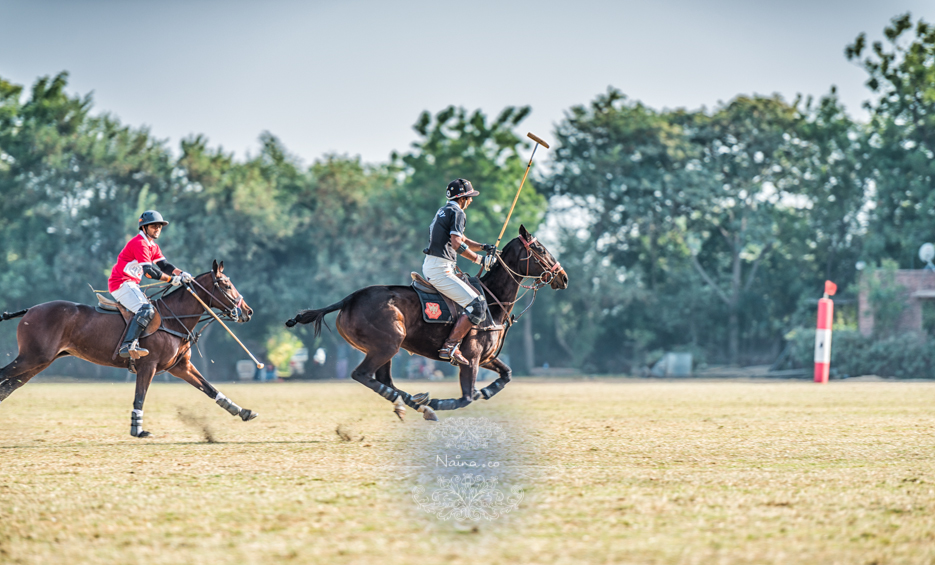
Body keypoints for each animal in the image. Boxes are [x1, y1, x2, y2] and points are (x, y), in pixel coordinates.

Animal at [0, 260, 260, 436]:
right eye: (226, 284)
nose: (247, 312)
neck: (174, 319)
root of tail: (29, 310)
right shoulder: (148, 365)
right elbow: (140, 397)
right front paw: (138, 430)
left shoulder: (180, 367)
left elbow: (210, 388)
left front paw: (243, 411)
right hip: (31, 358)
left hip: (40, 362)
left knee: (8, 387)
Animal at [286, 225, 568, 418]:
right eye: (540, 249)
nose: (563, 277)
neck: (492, 300)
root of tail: (348, 299)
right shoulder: (471, 358)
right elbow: (466, 398)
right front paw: (445, 402)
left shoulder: (486, 357)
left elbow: (506, 374)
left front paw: (485, 391)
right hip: (388, 343)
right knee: (363, 374)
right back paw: (420, 404)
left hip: (384, 347)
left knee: (384, 379)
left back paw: (416, 402)